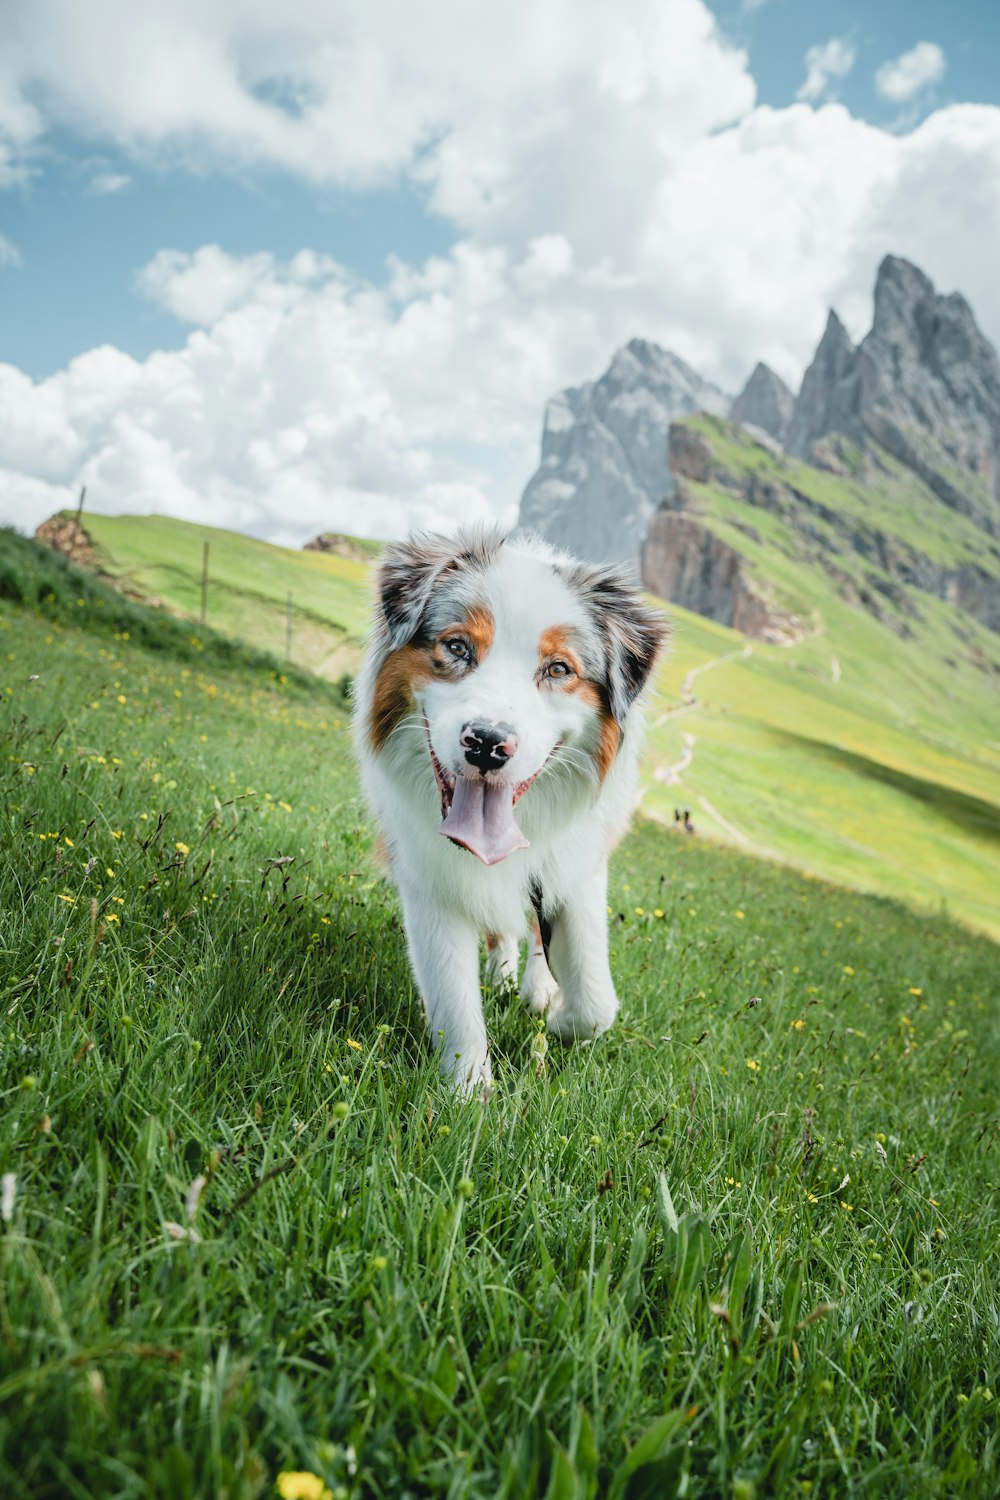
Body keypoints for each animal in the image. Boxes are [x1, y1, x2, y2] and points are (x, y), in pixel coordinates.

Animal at [352, 528, 665, 1092]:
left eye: (559, 668)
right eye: (457, 646)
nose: (487, 744)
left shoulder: (578, 865)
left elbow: (596, 1001)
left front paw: (559, 1018)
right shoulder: (429, 877)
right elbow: (454, 1000)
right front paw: (468, 1098)